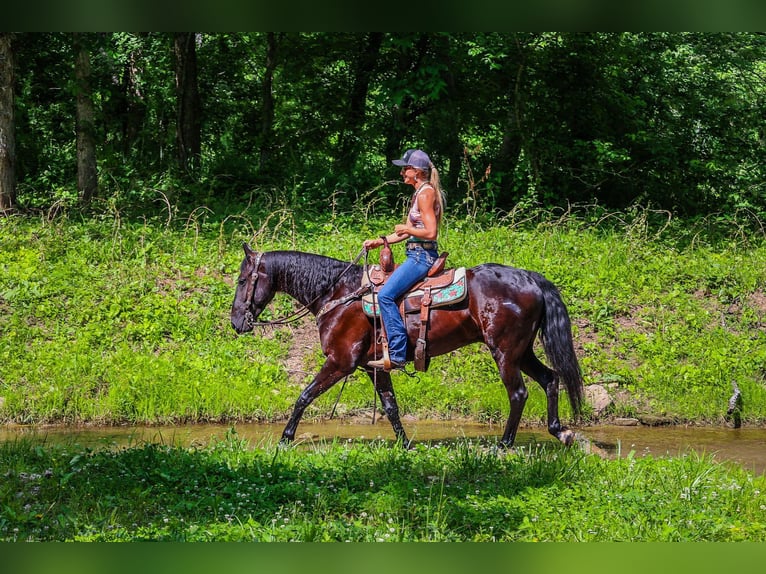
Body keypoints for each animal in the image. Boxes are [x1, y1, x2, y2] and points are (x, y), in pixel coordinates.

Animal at [230, 244, 584, 448]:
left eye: (242, 280)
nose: (236, 322)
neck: (338, 293)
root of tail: (530, 278)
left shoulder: (340, 361)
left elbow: (304, 396)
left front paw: (285, 439)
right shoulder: (372, 366)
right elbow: (390, 407)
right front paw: (405, 445)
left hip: (505, 352)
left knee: (519, 393)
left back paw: (505, 443)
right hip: (522, 351)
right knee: (551, 379)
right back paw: (560, 431)